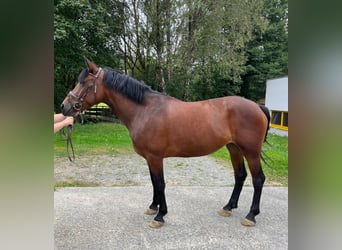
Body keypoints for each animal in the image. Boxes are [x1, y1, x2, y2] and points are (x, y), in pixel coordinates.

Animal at [60, 57, 270, 228]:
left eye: (85, 82)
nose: (64, 107)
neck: (145, 110)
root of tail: (258, 107)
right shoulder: (149, 158)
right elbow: (154, 182)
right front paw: (153, 207)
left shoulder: (155, 157)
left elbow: (160, 184)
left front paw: (160, 216)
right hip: (234, 148)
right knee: (240, 176)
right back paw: (228, 207)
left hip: (251, 151)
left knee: (258, 179)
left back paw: (251, 215)